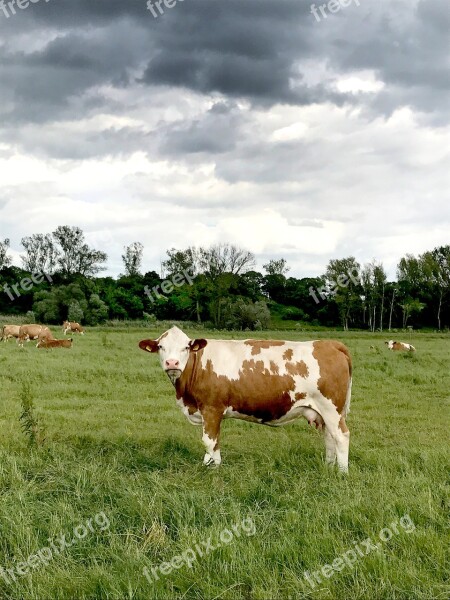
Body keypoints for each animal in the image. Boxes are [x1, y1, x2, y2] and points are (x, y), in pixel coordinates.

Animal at [139, 326, 354, 472]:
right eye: (161, 347)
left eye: (186, 347)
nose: (172, 363)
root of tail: (330, 344)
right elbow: (214, 442)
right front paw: (210, 465)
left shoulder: (211, 408)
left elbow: (209, 441)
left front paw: (213, 469)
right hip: (323, 412)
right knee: (329, 437)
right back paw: (328, 467)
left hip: (331, 409)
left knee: (341, 436)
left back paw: (341, 473)